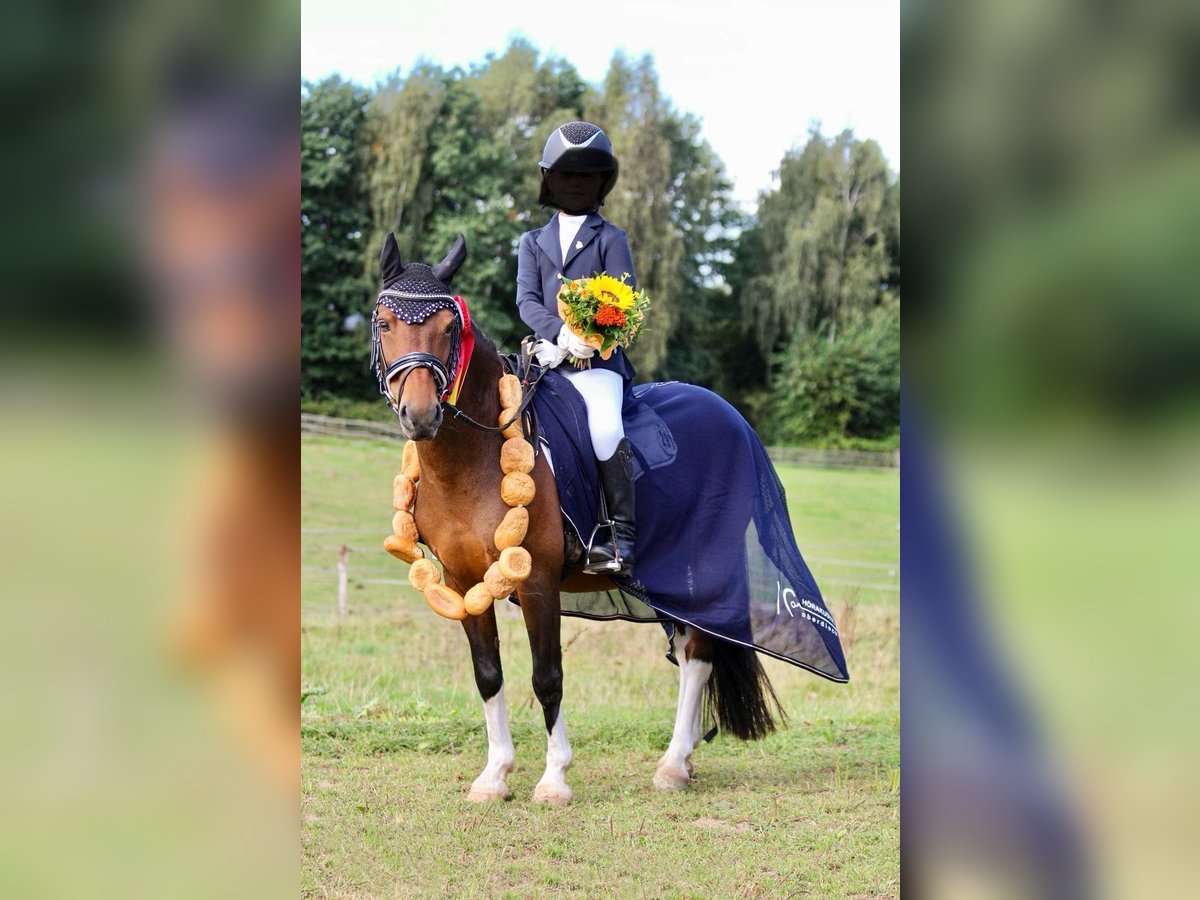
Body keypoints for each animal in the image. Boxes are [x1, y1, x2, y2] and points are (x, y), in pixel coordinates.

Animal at [374, 234, 786, 804]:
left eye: (448, 329)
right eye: (384, 322)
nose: (420, 415)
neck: (471, 461)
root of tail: (730, 416)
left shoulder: (538, 582)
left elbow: (547, 677)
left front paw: (554, 779)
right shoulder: (462, 581)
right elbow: (488, 675)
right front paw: (494, 775)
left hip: (701, 569)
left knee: (699, 654)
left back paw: (672, 766)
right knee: (687, 652)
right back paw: (679, 762)